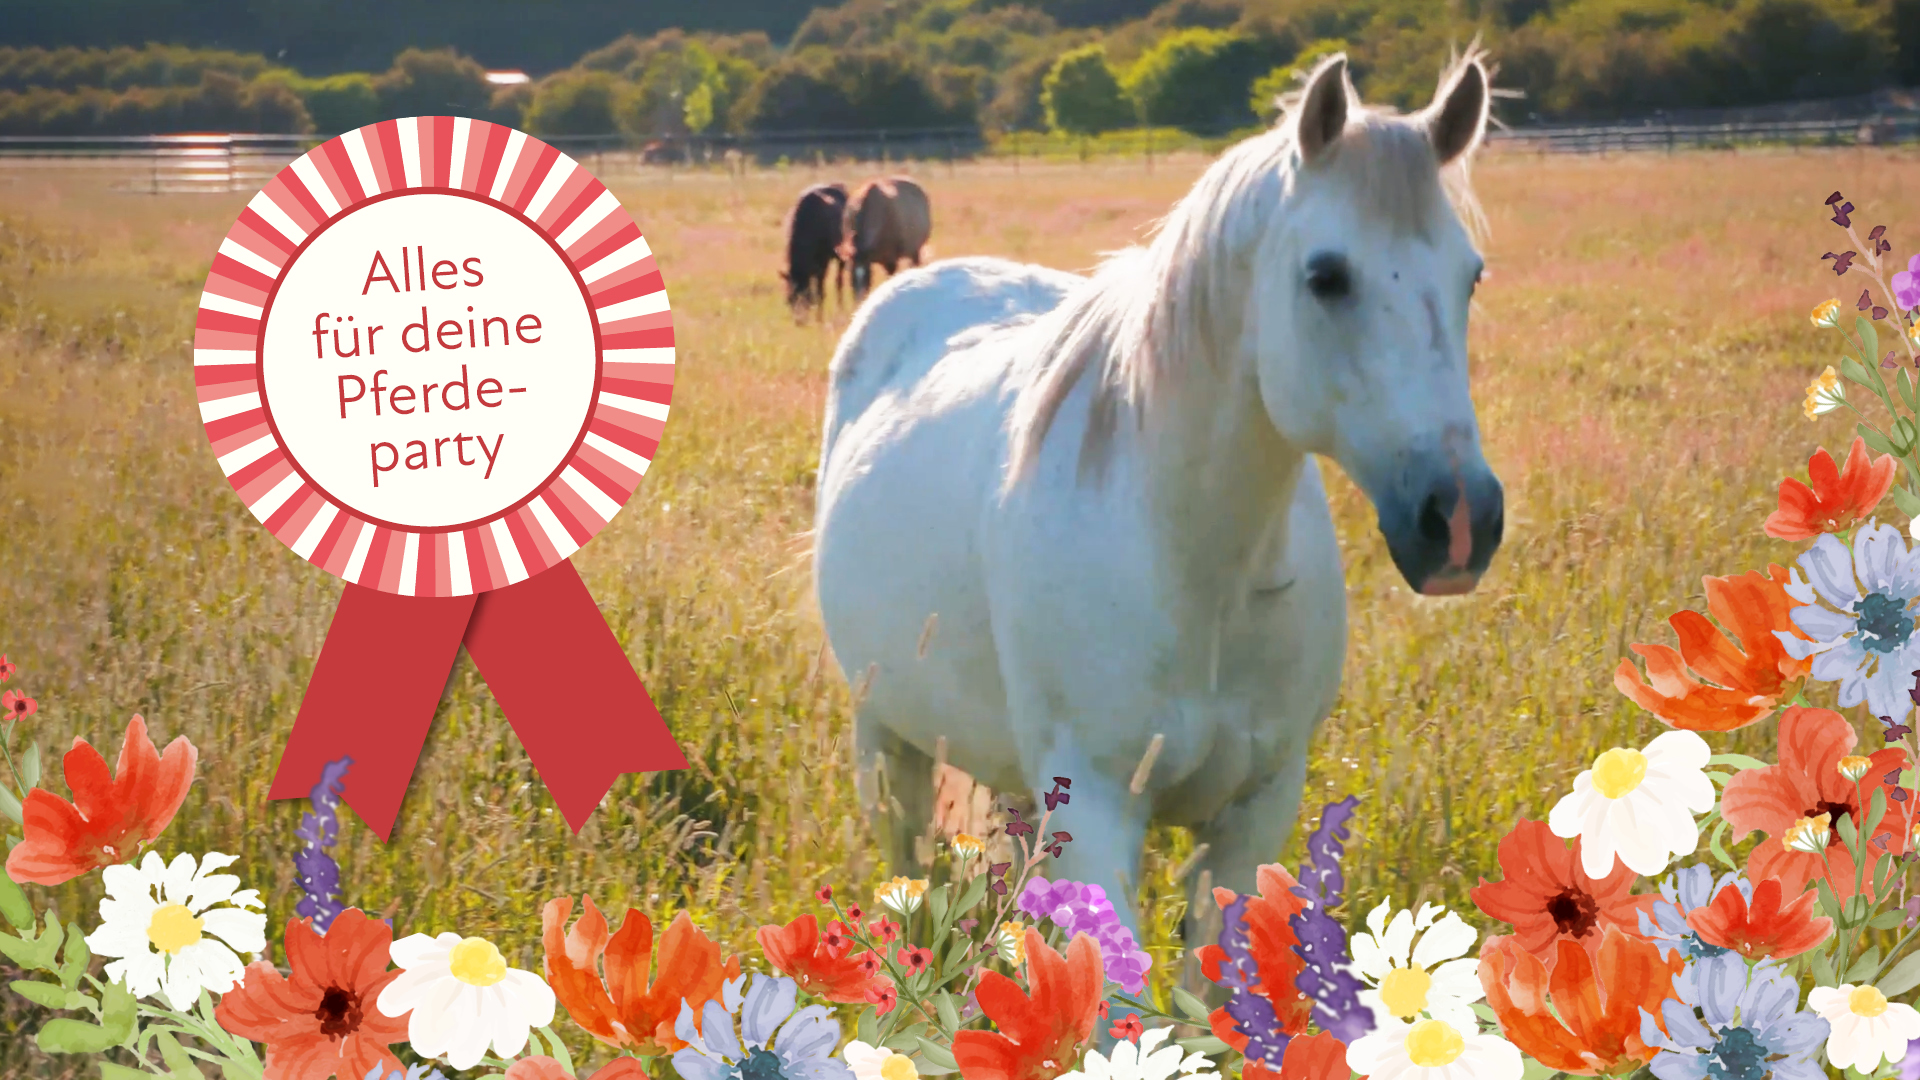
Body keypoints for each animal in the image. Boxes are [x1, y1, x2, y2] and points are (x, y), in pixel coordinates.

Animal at [782, 182, 850, 319]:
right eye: (789, 300)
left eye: (805, 297)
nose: (799, 321)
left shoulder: (823, 262)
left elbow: (820, 291)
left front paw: (820, 318)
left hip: (841, 258)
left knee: (839, 281)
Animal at [810, 50, 1503, 968]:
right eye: (1326, 276)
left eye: (1471, 276)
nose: (1460, 522)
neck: (1196, 566)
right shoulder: (1098, 809)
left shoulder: (1257, 809)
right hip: (886, 748)